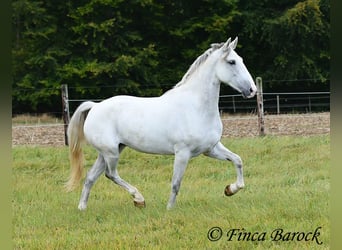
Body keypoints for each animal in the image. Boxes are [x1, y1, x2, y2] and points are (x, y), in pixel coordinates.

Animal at [66, 36, 256, 209]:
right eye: (232, 62)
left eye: (241, 60)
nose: (252, 90)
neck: (196, 107)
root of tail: (95, 106)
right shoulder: (182, 153)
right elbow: (176, 184)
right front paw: (169, 210)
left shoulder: (211, 149)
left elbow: (238, 160)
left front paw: (230, 189)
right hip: (111, 152)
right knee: (110, 174)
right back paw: (139, 199)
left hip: (110, 151)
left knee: (91, 177)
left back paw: (82, 208)